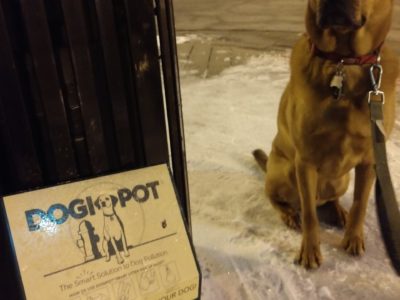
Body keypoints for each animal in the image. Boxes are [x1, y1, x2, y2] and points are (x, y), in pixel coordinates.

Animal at [255, 0, 398, 268]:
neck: (343, 61)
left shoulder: (370, 161)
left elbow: (360, 204)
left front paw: (353, 238)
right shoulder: (305, 162)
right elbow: (310, 215)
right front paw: (310, 251)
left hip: (340, 180)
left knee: (331, 199)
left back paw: (338, 211)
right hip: (285, 172)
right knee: (277, 197)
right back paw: (288, 213)